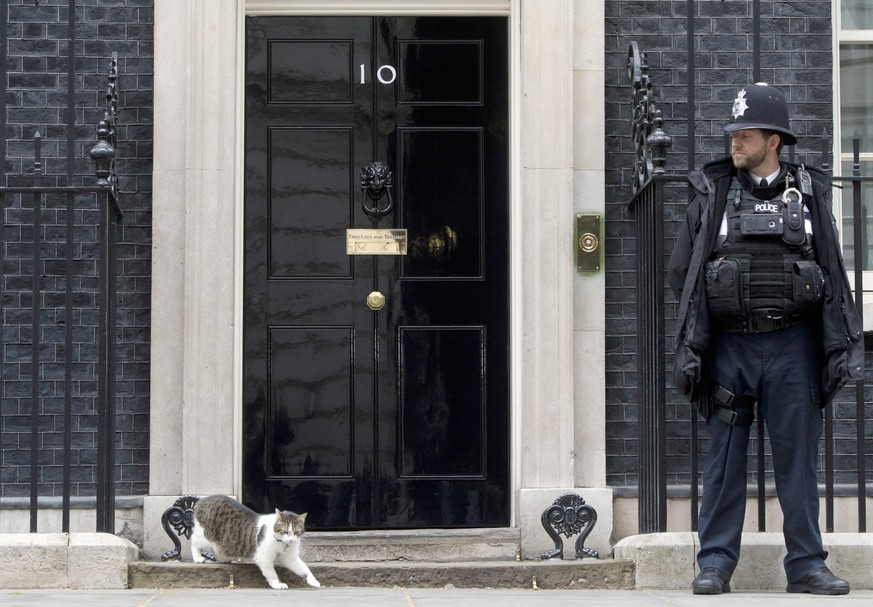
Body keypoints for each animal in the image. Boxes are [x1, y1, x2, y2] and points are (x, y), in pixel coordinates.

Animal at [191, 494, 320, 588]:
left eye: (296, 532)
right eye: (285, 531)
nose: (291, 540)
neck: (282, 544)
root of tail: (203, 500)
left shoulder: (290, 558)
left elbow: (304, 568)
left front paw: (313, 581)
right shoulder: (264, 557)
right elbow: (271, 573)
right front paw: (277, 584)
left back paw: (223, 558)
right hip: (205, 535)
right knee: (194, 540)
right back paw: (198, 558)